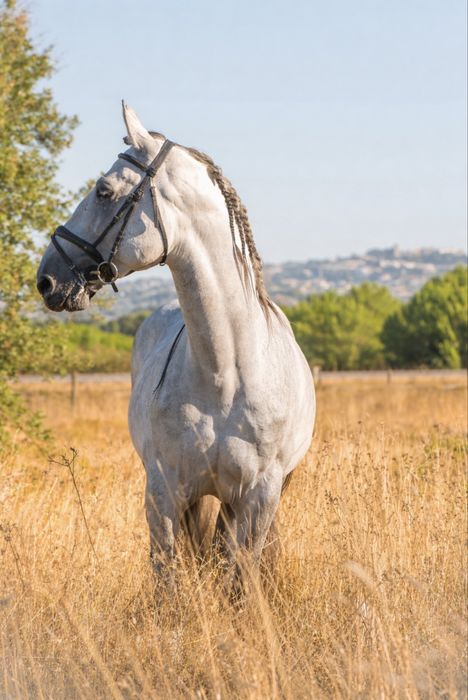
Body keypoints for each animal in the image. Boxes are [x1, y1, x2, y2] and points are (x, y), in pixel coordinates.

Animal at [37, 103, 315, 583]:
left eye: (104, 192)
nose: (46, 279)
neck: (227, 373)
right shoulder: (164, 494)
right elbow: (167, 581)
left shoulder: (258, 499)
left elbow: (242, 580)